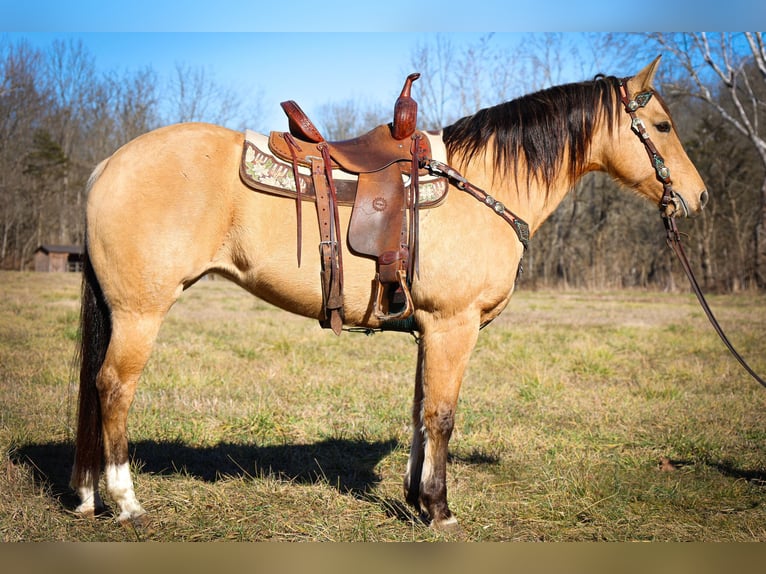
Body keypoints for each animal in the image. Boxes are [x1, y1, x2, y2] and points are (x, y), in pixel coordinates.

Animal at [72, 57, 708, 532]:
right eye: (664, 126)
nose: (698, 196)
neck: (486, 186)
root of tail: (106, 165)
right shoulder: (454, 326)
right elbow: (443, 415)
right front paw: (441, 510)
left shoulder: (430, 330)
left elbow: (420, 412)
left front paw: (415, 498)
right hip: (140, 313)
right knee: (114, 388)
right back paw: (127, 503)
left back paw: (86, 496)